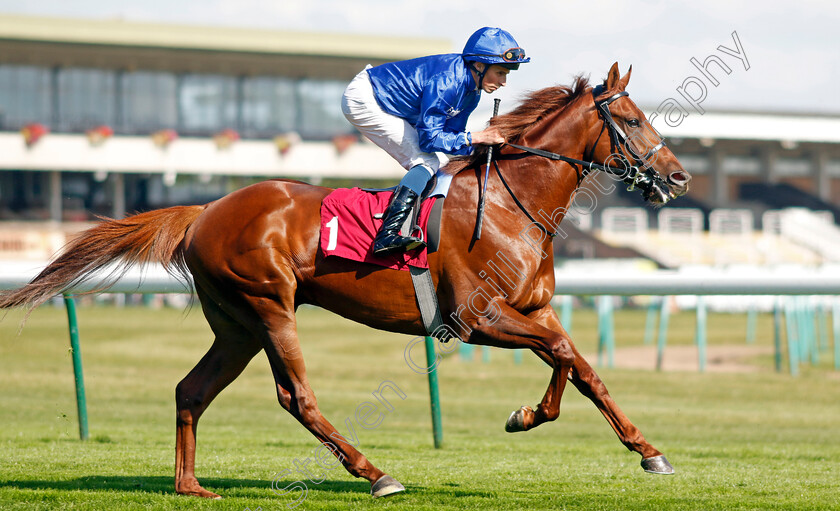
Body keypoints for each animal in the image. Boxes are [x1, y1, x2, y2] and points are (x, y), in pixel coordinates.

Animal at [1, 64, 688, 500]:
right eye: (630, 118)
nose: (678, 176)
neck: (512, 203)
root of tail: (206, 209)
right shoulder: (477, 318)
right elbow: (566, 355)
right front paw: (527, 416)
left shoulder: (534, 311)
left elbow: (583, 367)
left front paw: (648, 450)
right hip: (269, 305)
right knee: (295, 397)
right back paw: (374, 472)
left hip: (236, 325)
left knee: (191, 390)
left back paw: (191, 486)